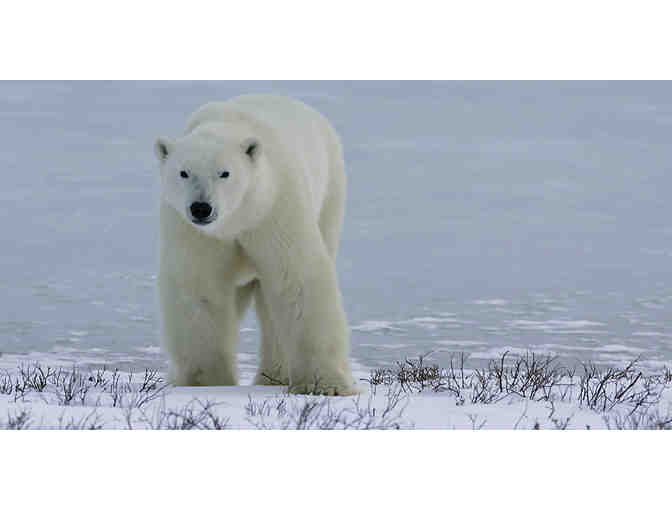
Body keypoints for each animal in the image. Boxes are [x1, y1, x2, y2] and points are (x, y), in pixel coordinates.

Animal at [154, 94, 358, 395]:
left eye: (224, 173)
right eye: (183, 173)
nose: (201, 208)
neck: (237, 218)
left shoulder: (274, 209)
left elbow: (296, 279)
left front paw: (325, 384)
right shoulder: (193, 232)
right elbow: (199, 287)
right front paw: (206, 381)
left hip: (330, 194)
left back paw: (273, 376)